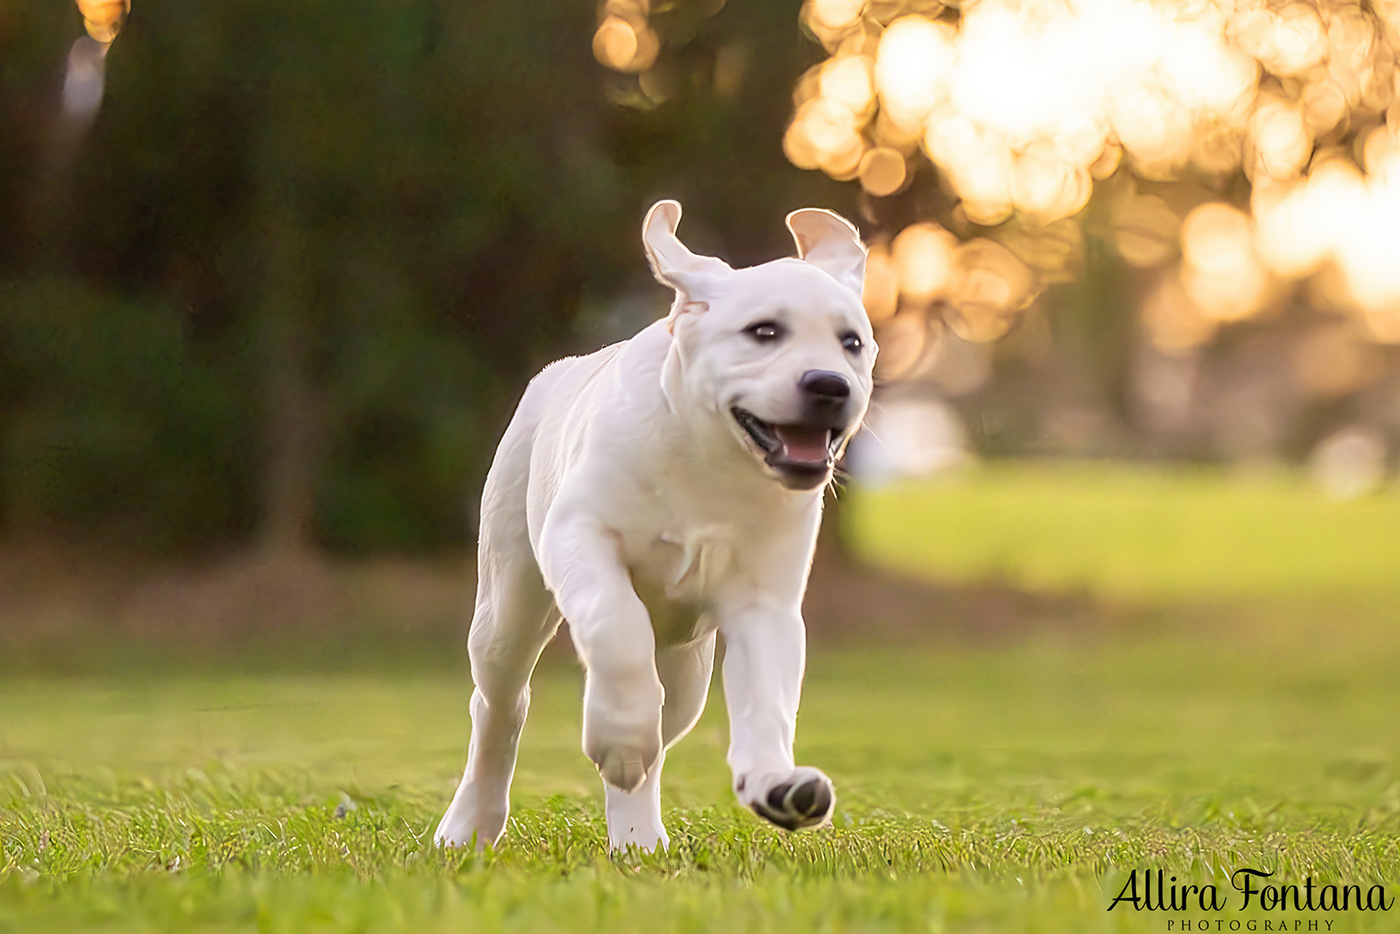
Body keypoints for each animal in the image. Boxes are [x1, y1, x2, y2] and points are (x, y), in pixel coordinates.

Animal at [436, 198, 873, 856]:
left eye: (852, 344)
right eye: (764, 332)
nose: (830, 384)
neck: (711, 459)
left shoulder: (764, 602)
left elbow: (767, 695)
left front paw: (774, 782)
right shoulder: (581, 535)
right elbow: (617, 628)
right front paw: (619, 732)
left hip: (688, 669)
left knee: (661, 736)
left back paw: (637, 837)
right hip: (506, 608)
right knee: (500, 710)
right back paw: (469, 826)